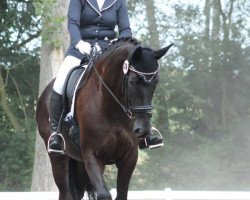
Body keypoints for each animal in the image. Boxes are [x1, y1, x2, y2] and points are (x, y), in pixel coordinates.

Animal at [36, 39, 173, 200]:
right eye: (132, 80)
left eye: (156, 81)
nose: (143, 129)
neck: (112, 109)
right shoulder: (92, 155)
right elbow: (104, 194)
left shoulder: (129, 157)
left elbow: (121, 194)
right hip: (59, 158)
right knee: (65, 192)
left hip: (78, 164)